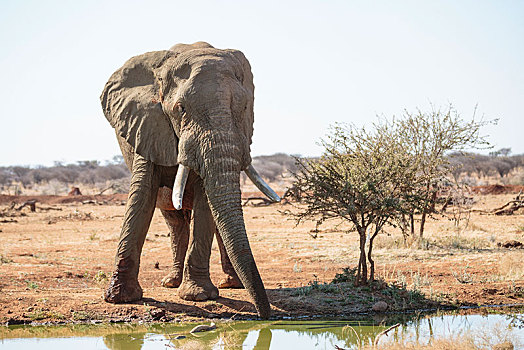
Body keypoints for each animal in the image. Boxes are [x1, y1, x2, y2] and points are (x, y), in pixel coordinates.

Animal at [99, 41, 278, 320]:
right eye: (180, 109)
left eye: (244, 108)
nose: (265, 316)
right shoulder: (148, 126)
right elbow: (141, 197)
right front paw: (119, 298)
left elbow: (206, 201)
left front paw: (198, 296)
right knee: (174, 223)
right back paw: (171, 282)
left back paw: (232, 284)